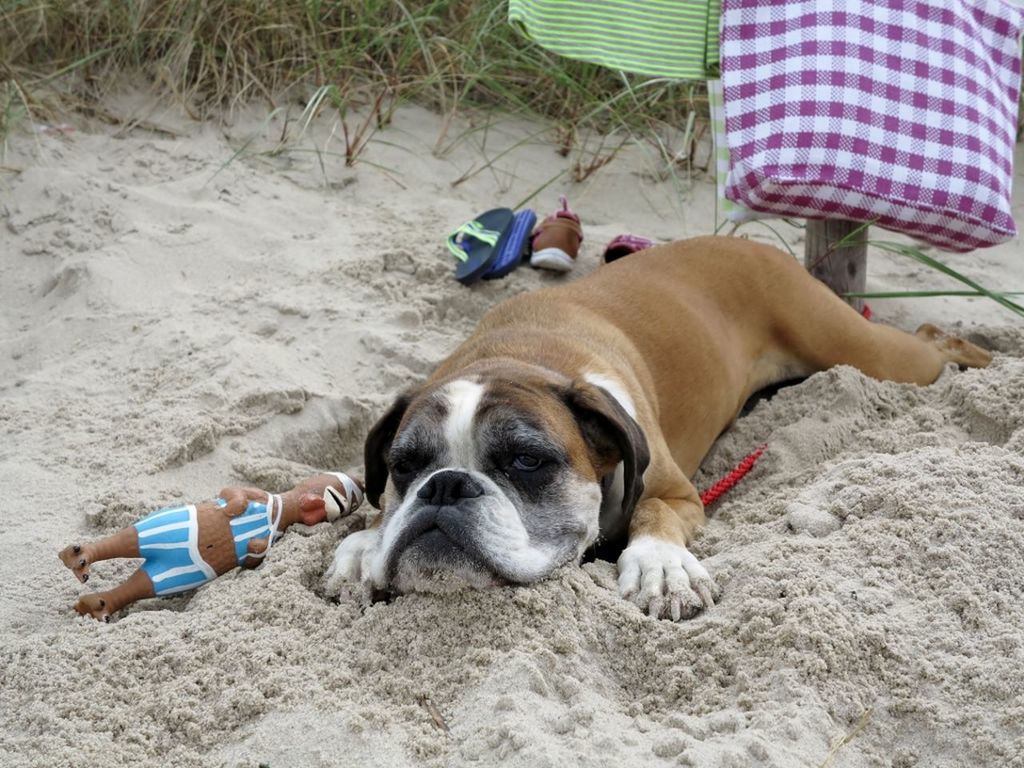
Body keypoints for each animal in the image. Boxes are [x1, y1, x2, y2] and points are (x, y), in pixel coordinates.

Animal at [321, 237, 991, 622]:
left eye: (526, 462)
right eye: (406, 467)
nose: (445, 487)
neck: (520, 356)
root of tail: (754, 242)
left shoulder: (677, 493)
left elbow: (654, 514)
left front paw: (660, 566)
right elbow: (375, 521)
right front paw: (363, 551)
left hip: (869, 353)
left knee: (933, 339)